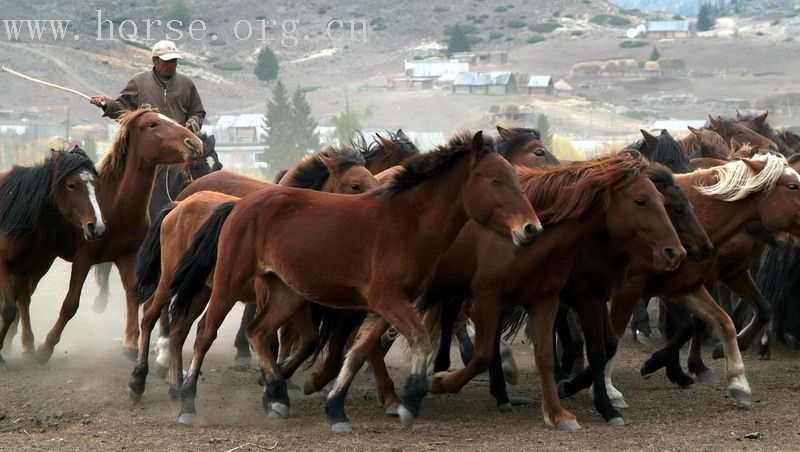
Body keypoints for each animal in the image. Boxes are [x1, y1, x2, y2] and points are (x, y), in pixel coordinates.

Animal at [0, 147, 104, 362]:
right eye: (71, 185)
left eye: (96, 186)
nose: (96, 226)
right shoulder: (2, 266)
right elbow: (8, 309)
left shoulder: (24, 268)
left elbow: (18, 304)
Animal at [27, 107, 202, 364]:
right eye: (152, 124)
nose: (194, 143)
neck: (114, 204)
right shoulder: (84, 258)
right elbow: (71, 303)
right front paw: (46, 347)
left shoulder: (128, 256)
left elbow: (134, 294)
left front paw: (130, 343)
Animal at [129, 145, 382, 400]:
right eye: (355, 185)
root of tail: (178, 205)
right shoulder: (265, 297)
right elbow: (272, 340)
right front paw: (272, 382)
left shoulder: (296, 300)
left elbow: (308, 340)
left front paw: (281, 374)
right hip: (172, 280)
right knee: (150, 314)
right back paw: (139, 379)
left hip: (200, 289)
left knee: (180, 329)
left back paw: (176, 385)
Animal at [167, 130, 544, 430]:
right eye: (495, 180)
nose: (531, 228)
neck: (408, 223)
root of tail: (239, 204)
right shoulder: (387, 300)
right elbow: (419, 341)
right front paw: (411, 399)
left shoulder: (384, 306)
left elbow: (359, 352)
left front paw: (336, 408)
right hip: (228, 283)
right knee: (203, 333)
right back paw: (186, 402)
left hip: (286, 293)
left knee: (258, 332)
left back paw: (276, 396)